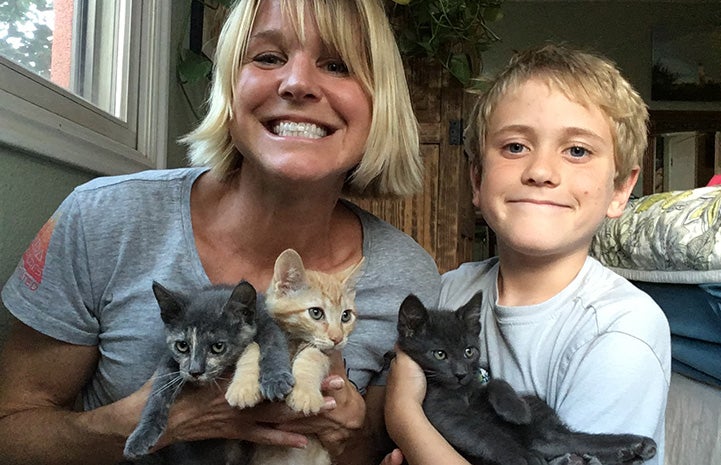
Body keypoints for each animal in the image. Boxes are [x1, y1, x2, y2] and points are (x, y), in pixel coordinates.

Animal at [123, 280, 292, 464]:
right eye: (182, 346)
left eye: (218, 347)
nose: (195, 371)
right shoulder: (171, 360)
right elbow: (160, 389)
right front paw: (141, 435)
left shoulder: (266, 322)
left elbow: (273, 342)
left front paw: (276, 379)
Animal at [394, 294, 660, 464]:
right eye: (439, 354)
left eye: (469, 351)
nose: (460, 373)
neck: (463, 391)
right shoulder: (441, 411)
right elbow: (482, 432)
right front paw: (524, 457)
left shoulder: (476, 382)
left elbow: (496, 382)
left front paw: (516, 410)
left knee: (564, 439)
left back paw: (635, 445)